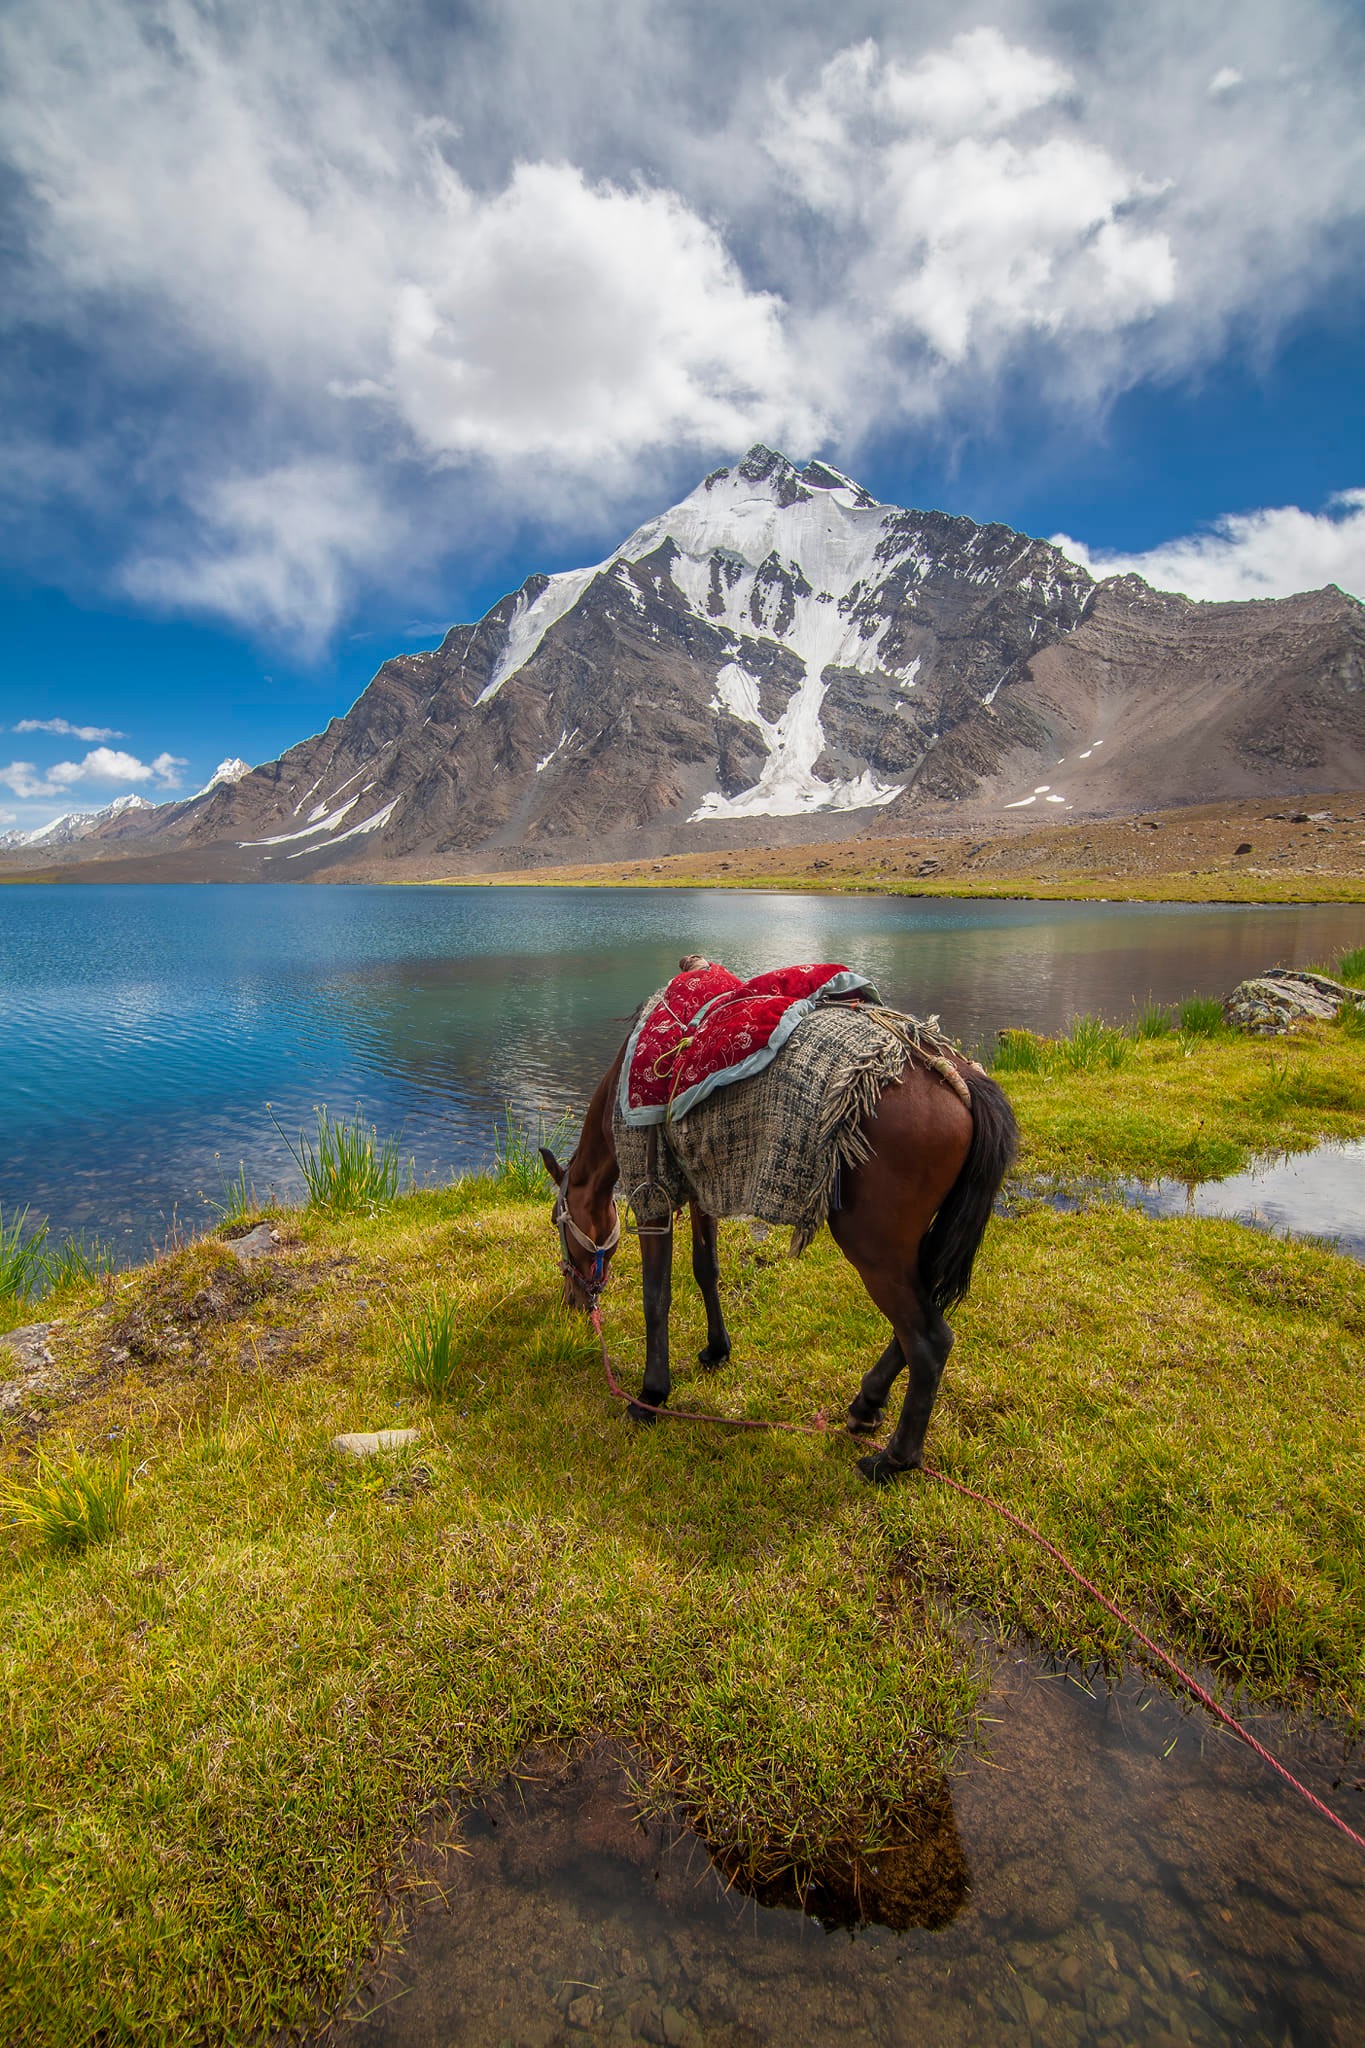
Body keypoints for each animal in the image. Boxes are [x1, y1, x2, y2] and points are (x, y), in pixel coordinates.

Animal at [540, 966, 1019, 1482]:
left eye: (557, 1224)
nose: (574, 1301)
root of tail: (956, 1076)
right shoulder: (705, 1184)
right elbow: (706, 1270)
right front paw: (716, 1350)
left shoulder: (654, 1197)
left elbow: (656, 1296)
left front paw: (651, 1396)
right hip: (912, 1247)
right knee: (917, 1325)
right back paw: (866, 1405)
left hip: (875, 1249)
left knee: (929, 1341)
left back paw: (893, 1459)